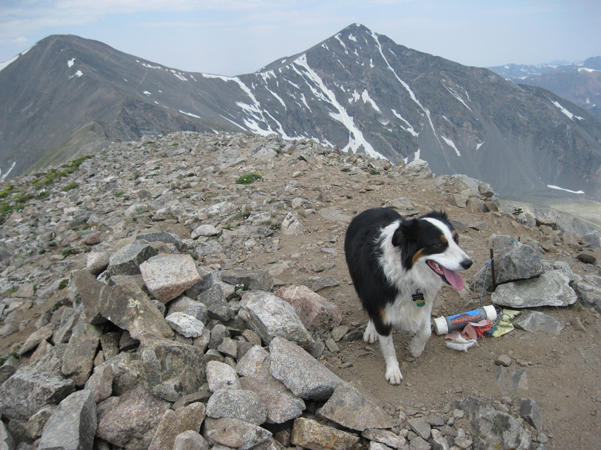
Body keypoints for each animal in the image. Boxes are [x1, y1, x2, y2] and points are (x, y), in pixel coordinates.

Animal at [344, 207, 472, 384]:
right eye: (438, 244)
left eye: (456, 238)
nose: (468, 263)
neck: (409, 274)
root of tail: (372, 209)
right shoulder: (380, 304)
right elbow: (389, 346)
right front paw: (393, 371)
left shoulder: (426, 300)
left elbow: (427, 330)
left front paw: (416, 347)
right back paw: (371, 330)